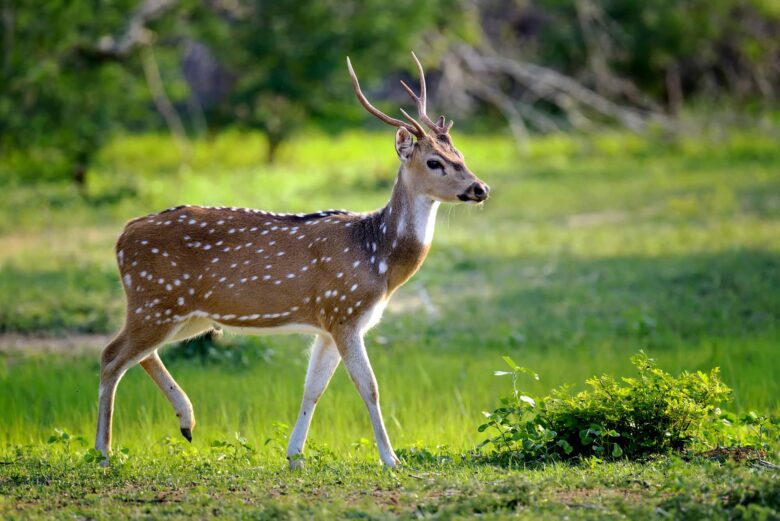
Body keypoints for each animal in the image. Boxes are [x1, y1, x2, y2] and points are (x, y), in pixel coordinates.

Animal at [95, 52, 490, 468]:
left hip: (186, 313)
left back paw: (186, 422)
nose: (480, 188)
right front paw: (390, 458)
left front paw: (295, 455)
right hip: (155, 301)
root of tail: (122, 237)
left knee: (137, 354)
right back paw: (104, 451)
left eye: (461, 155)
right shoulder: (345, 310)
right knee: (111, 356)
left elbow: (313, 388)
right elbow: (369, 386)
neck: (378, 258)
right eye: (434, 162)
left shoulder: (329, 322)